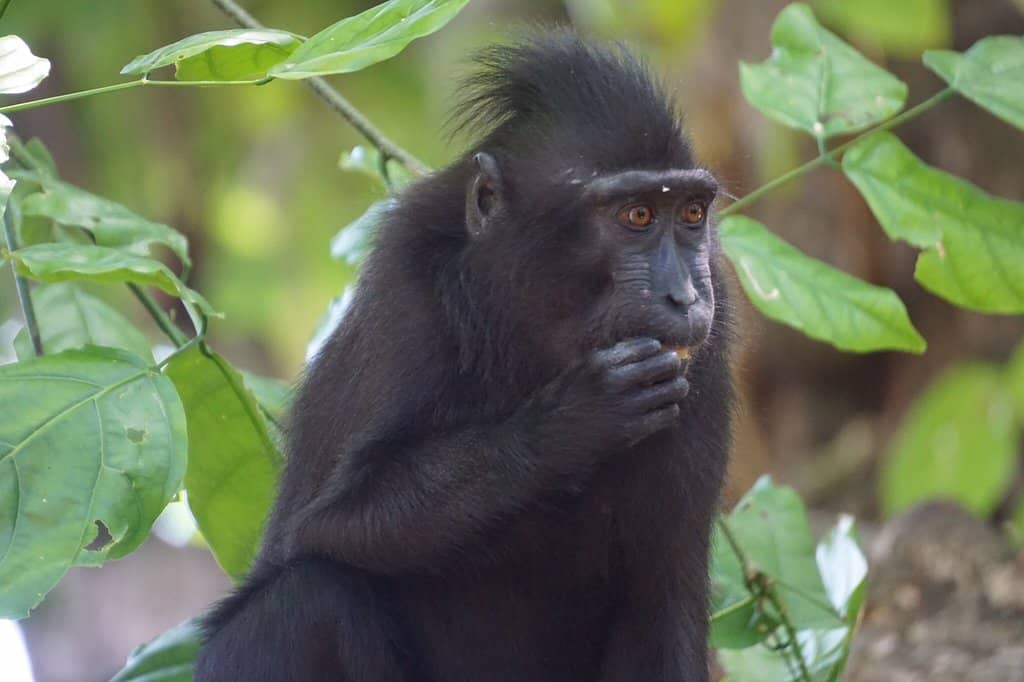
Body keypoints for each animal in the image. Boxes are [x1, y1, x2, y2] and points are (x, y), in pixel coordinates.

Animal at [195, 30, 733, 682]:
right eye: (637, 215)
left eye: (691, 214)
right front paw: (572, 421)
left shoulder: (712, 339)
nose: (686, 296)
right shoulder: (408, 294)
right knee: (308, 597)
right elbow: (327, 525)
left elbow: (659, 599)